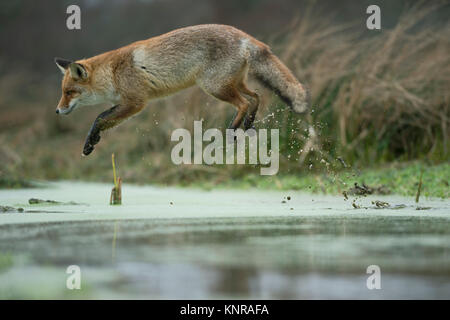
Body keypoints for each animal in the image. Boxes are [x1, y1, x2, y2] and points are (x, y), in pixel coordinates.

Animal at [54, 24, 310, 156]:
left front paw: (89, 143)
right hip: (233, 84)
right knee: (256, 97)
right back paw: (246, 125)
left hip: (214, 87)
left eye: (69, 92)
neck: (113, 73)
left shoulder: (135, 102)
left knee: (245, 103)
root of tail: (244, 35)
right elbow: (102, 118)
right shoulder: (126, 102)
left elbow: (99, 117)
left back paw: (232, 131)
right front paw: (92, 141)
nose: (57, 111)